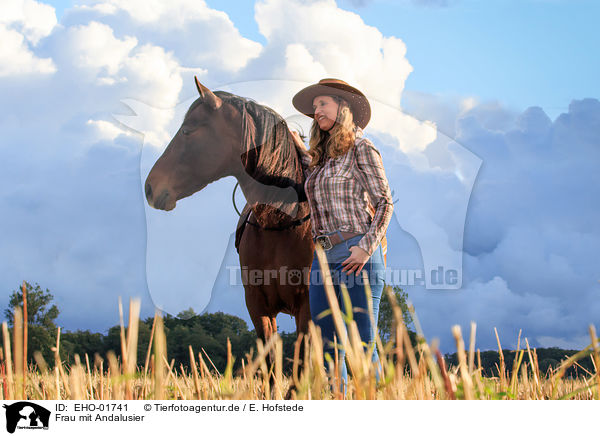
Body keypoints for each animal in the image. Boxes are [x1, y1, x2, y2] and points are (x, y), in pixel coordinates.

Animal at [144, 76, 314, 386]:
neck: (280, 221)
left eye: (187, 130)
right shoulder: (258, 307)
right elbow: (271, 369)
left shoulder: (306, 306)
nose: (150, 186)